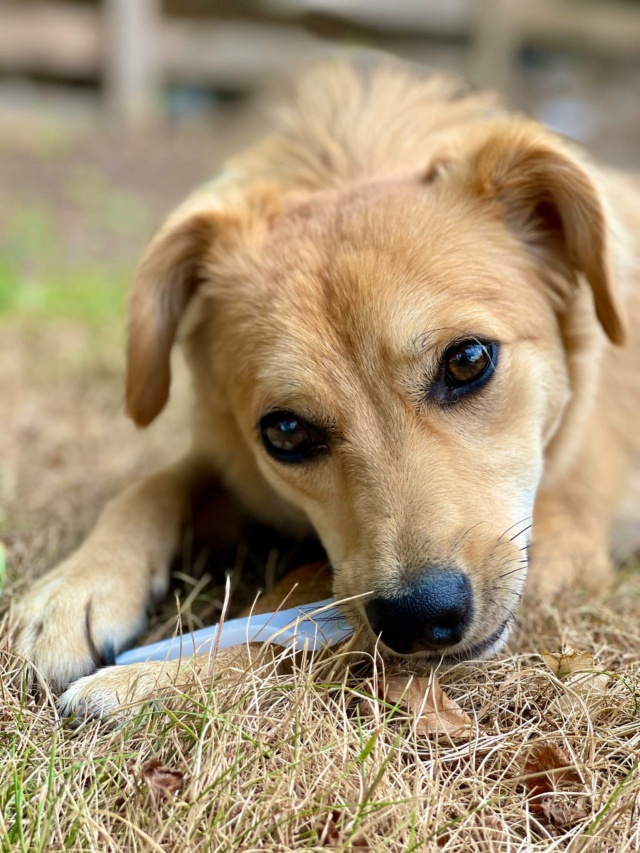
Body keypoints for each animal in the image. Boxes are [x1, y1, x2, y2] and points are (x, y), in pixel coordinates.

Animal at [13, 53, 640, 716]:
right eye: (285, 431)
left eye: (468, 360)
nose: (421, 617)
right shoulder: (233, 460)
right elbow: (152, 485)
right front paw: (72, 591)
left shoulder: (563, 531)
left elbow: (303, 608)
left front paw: (158, 675)